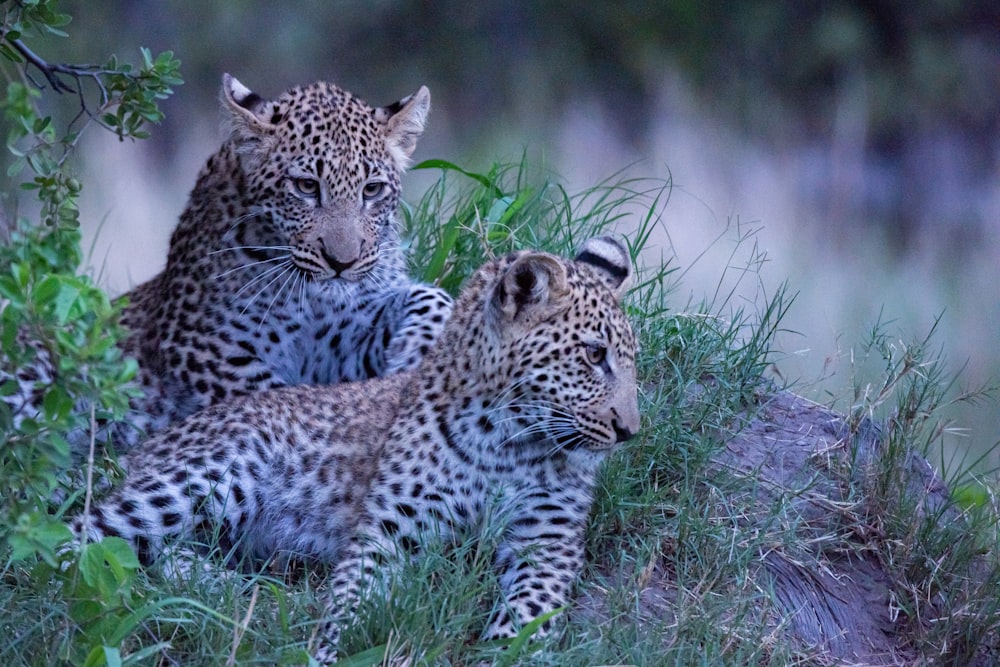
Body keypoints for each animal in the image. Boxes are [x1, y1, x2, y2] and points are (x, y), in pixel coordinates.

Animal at [0, 74, 454, 454]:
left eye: (372, 190)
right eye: (306, 187)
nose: (342, 261)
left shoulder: (342, 338)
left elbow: (432, 296)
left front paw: (413, 353)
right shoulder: (199, 345)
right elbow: (272, 398)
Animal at [72, 235, 648, 664]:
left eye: (631, 360)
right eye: (593, 355)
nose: (629, 431)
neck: (505, 441)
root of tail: (153, 442)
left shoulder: (545, 541)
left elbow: (529, 616)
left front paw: (505, 654)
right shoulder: (391, 533)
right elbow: (350, 608)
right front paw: (327, 650)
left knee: (161, 555)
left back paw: (250, 597)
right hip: (212, 477)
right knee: (86, 537)